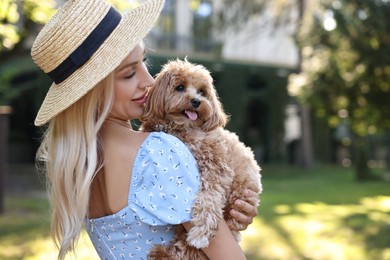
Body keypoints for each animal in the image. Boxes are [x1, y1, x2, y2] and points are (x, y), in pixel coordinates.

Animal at [140, 59, 262, 260]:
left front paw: (202, 233)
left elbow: (208, 200)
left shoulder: (217, 169)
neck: (184, 129)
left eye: (202, 92)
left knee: (190, 248)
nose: (196, 101)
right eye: (180, 87)